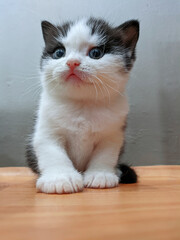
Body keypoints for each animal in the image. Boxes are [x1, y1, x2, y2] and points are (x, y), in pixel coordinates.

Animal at [26, 17, 139, 193]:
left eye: (96, 53)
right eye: (59, 53)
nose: (72, 62)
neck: (82, 105)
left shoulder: (113, 133)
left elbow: (105, 154)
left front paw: (100, 175)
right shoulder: (46, 129)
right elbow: (53, 153)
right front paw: (60, 178)